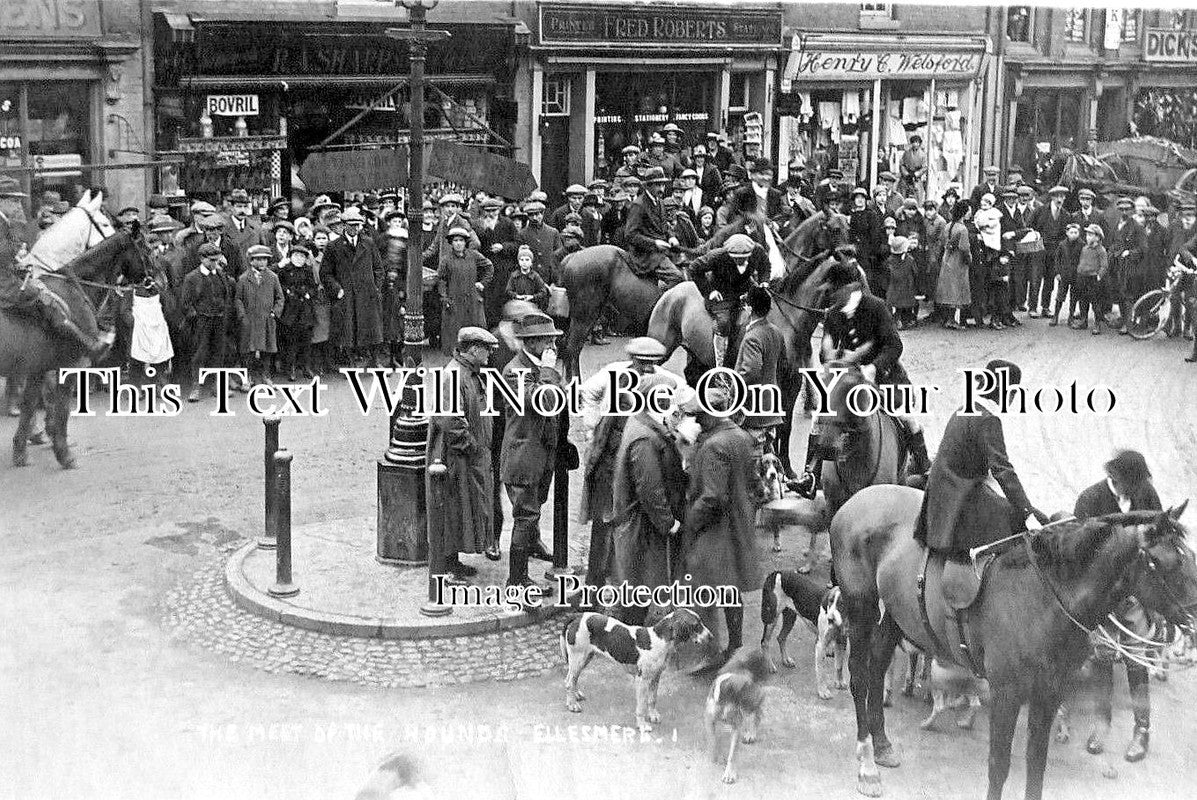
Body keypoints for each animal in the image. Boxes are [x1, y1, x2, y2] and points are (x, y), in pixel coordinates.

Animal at [1, 214, 149, 469]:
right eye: (146, 248)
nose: (162, 281)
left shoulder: (37, 368)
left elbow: (30, 405)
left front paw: (21, 450)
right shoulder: (69, 367)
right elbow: (61, 410)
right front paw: (64, 454)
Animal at [560, 613, 708, 732]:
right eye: (696, 625)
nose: (711, 637)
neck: (659, 640)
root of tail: (577, 617)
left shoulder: (656, 677)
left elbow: (652, 700)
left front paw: (653, 715)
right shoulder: (642, 681)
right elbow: (641, 707)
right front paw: (642, 725)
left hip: (585, 658)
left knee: (572, 679)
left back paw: (575, 696)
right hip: (578, 658)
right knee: (569, 682)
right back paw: (572, 704)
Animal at [703, 646, 770, 785]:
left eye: (750, 682)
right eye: (746, 686)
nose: (760, 695)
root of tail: (757, 649)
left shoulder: (736, 726)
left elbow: (732, 754)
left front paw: (729, 773)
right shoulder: (709, 719)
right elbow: (713, 740)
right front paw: (715, 756)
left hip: (754, 701)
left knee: (757, 714)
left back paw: (751, 733)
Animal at [833, 481, 1197, 800]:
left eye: (1190, 556)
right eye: (1164, 562)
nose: (1194, 618)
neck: (1045, 598)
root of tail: (857, 500)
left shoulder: (1049, 693)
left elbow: (1036, 763)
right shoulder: (1007, 694)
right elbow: (999, 765)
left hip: (897, 613)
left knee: (878, 663)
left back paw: (882, 745)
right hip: (861, 606)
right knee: (859, 675)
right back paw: (866, 763)